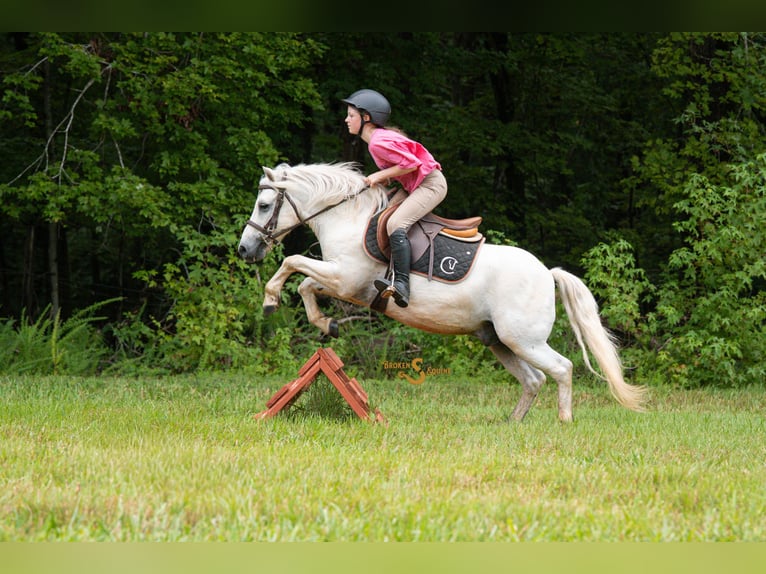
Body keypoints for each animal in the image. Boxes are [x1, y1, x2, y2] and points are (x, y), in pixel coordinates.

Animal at [237, 162, 647, 422]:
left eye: (264, 205)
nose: (244, 249)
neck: (347, 218)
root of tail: (547, 273)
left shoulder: (346, 278)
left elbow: (291, 262)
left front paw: (270, 300)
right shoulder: (346, 283)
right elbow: (305, 283)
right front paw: (326, 323)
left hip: (523, 339)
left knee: (562, 369)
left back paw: (564, 420)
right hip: (498, 340)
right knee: (534, 379)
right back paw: (512, 423)